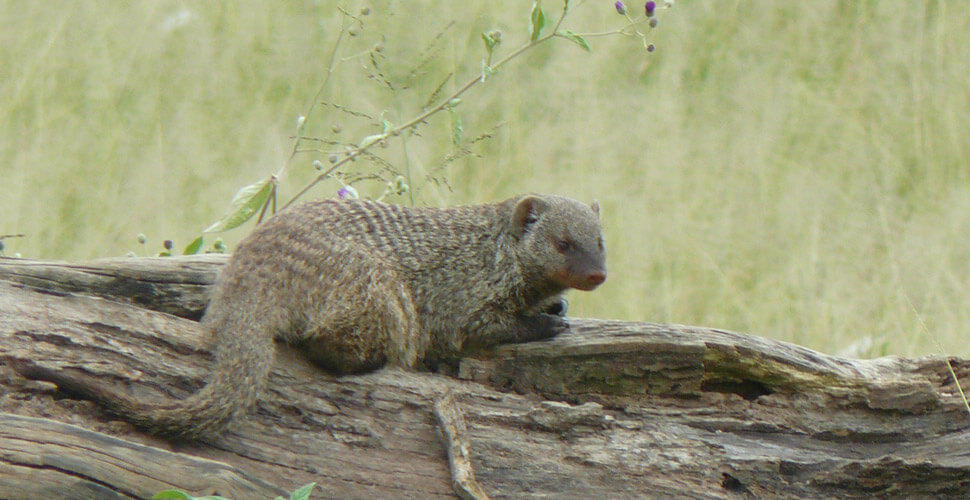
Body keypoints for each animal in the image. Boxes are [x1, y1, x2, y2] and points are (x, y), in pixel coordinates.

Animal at [18, 194, 606, 439]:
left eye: (600, 241)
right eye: (562, 243)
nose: (598, 275)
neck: (496, 251)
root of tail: (247, 276)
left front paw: (557, 305)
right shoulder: (462, 295)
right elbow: (476, 329)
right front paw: (548, 322)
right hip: (373, 282)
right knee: (331, 343)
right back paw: (366, 363)